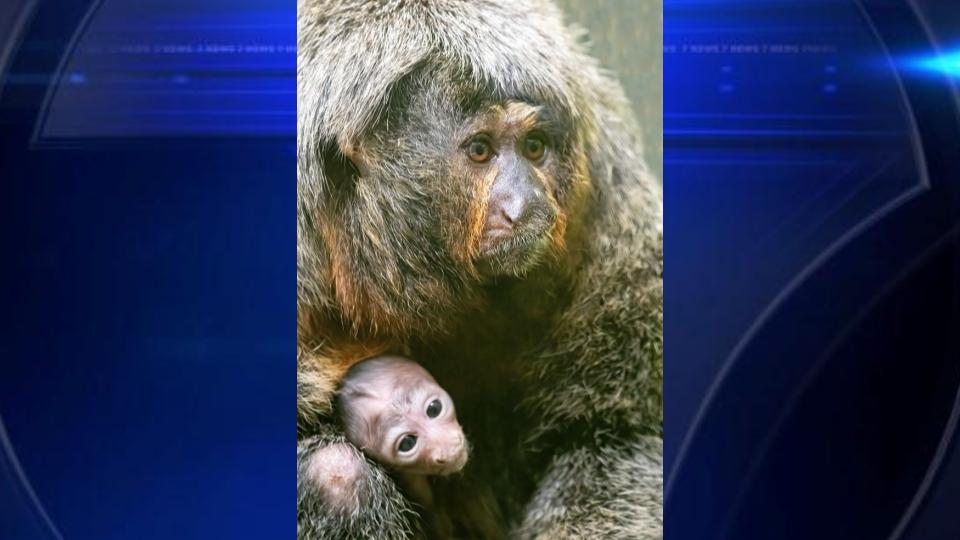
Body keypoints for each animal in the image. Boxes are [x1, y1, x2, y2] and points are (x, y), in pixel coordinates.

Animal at [297, 1, 663, 539]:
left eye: (534, 147)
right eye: (480, 150)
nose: (526, 205)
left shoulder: (602, 187)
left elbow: (615, 430)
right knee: (336, 475)